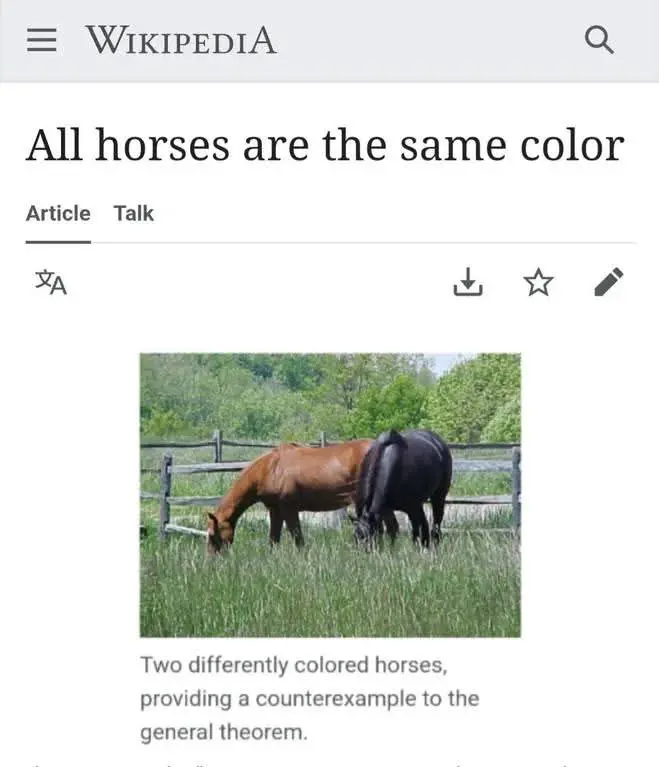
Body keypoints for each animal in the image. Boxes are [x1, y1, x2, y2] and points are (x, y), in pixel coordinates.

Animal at [206, 439, 371, 554]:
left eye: (213, 535)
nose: (211, 561)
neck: (269, 468)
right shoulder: (275, 510)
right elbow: (273, 540)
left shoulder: (289, 509)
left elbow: (298, 539)